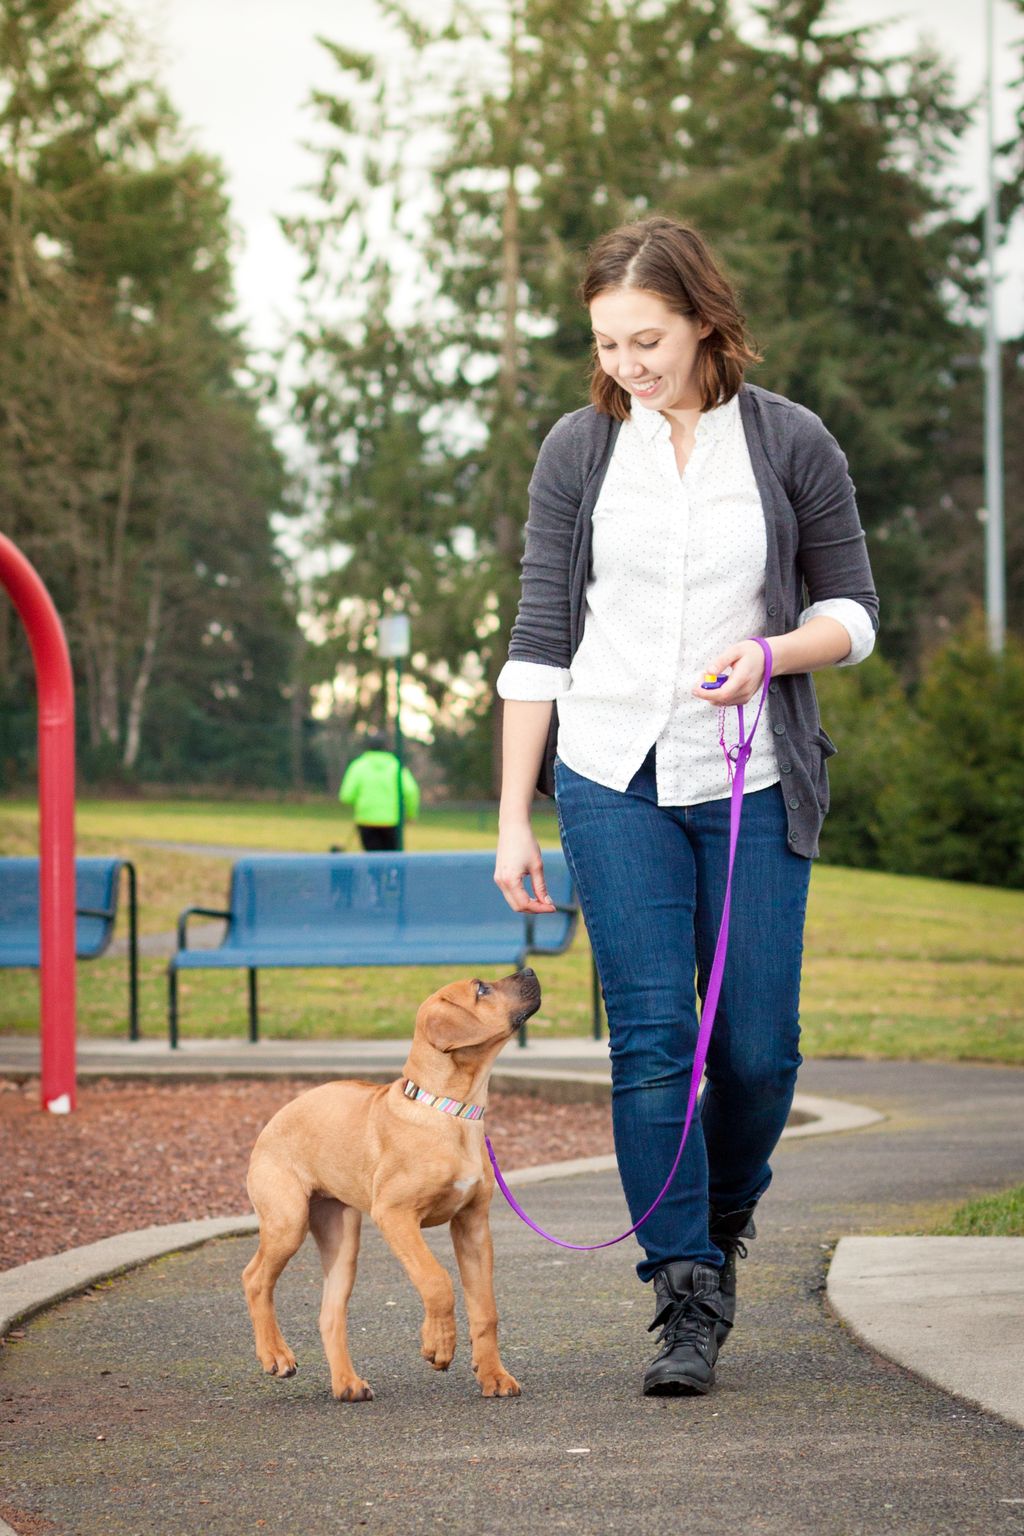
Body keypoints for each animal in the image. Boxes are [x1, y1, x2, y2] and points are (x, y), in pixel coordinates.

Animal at [244, 970, 540, 1406]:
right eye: (481, 989)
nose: (531, 972)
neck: (450, 1112)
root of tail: (271, 1121)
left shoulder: (472, 1225)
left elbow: (486, 1310)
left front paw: (493, 1375)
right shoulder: (395, 1215)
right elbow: (436, 1280)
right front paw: (439, 1345)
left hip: (341, 1237)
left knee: (330, 1313)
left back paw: (347, 1383)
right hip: (288, 1220)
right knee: (255, 1278)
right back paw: (276, 1355)